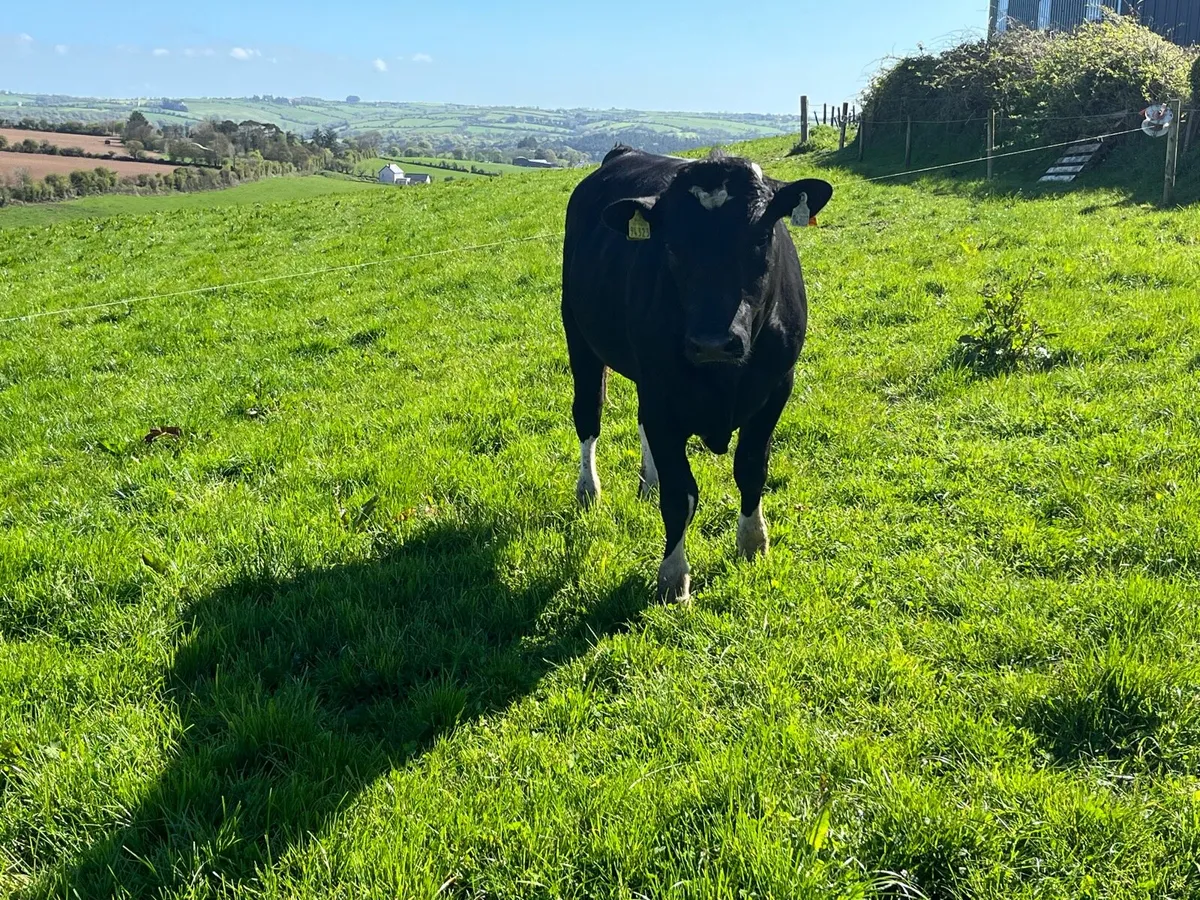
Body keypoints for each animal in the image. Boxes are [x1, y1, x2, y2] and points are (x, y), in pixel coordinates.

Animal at [561, 145, 833, 602]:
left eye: (761, 237)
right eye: (671, 243)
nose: (712, 342)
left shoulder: (777, 389)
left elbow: (751, 469)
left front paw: (753, 543)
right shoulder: (662, 395)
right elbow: (680, 495)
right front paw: (673, 579)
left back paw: (647, 481)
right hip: (579, 335)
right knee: (588, 414)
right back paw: (588, 490)